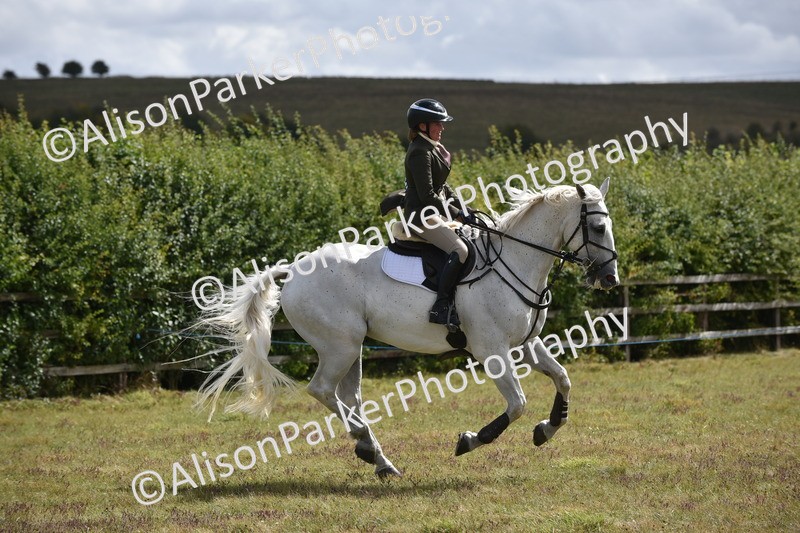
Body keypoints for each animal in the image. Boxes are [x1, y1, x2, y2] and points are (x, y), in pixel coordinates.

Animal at [196, 178, 619, 478]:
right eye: (598, 227)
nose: (610, 279)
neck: (514, 259)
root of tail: (295, 269)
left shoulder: (525, 345)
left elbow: (563, 379)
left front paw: (546, 429)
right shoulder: (492, 350)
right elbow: (516, 404)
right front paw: (470, 441)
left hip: (352, 348)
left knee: (349, 397)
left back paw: (377, 457)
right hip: (339, 346)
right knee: (322, 390)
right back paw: (368, 448)